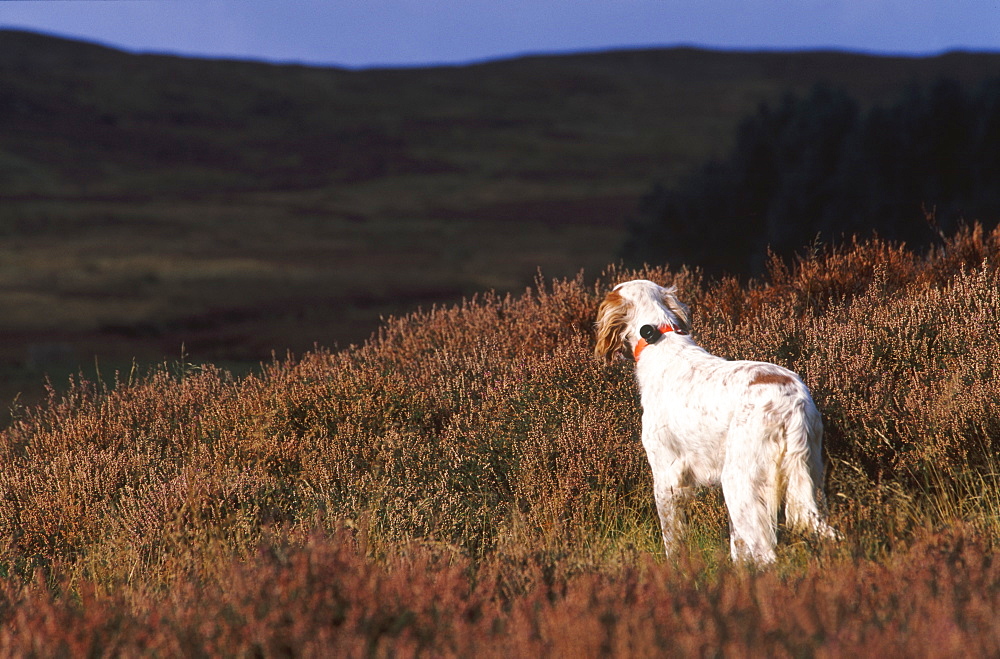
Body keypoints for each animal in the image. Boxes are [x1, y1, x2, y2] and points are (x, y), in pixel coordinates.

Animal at [592, 278, 836, 564]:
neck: (659, 341)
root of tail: (793, 401)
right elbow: (737, 547)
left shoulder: (666, 475)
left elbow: (672, 539)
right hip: (810, 476)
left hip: (740, 483)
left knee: (766, 554)